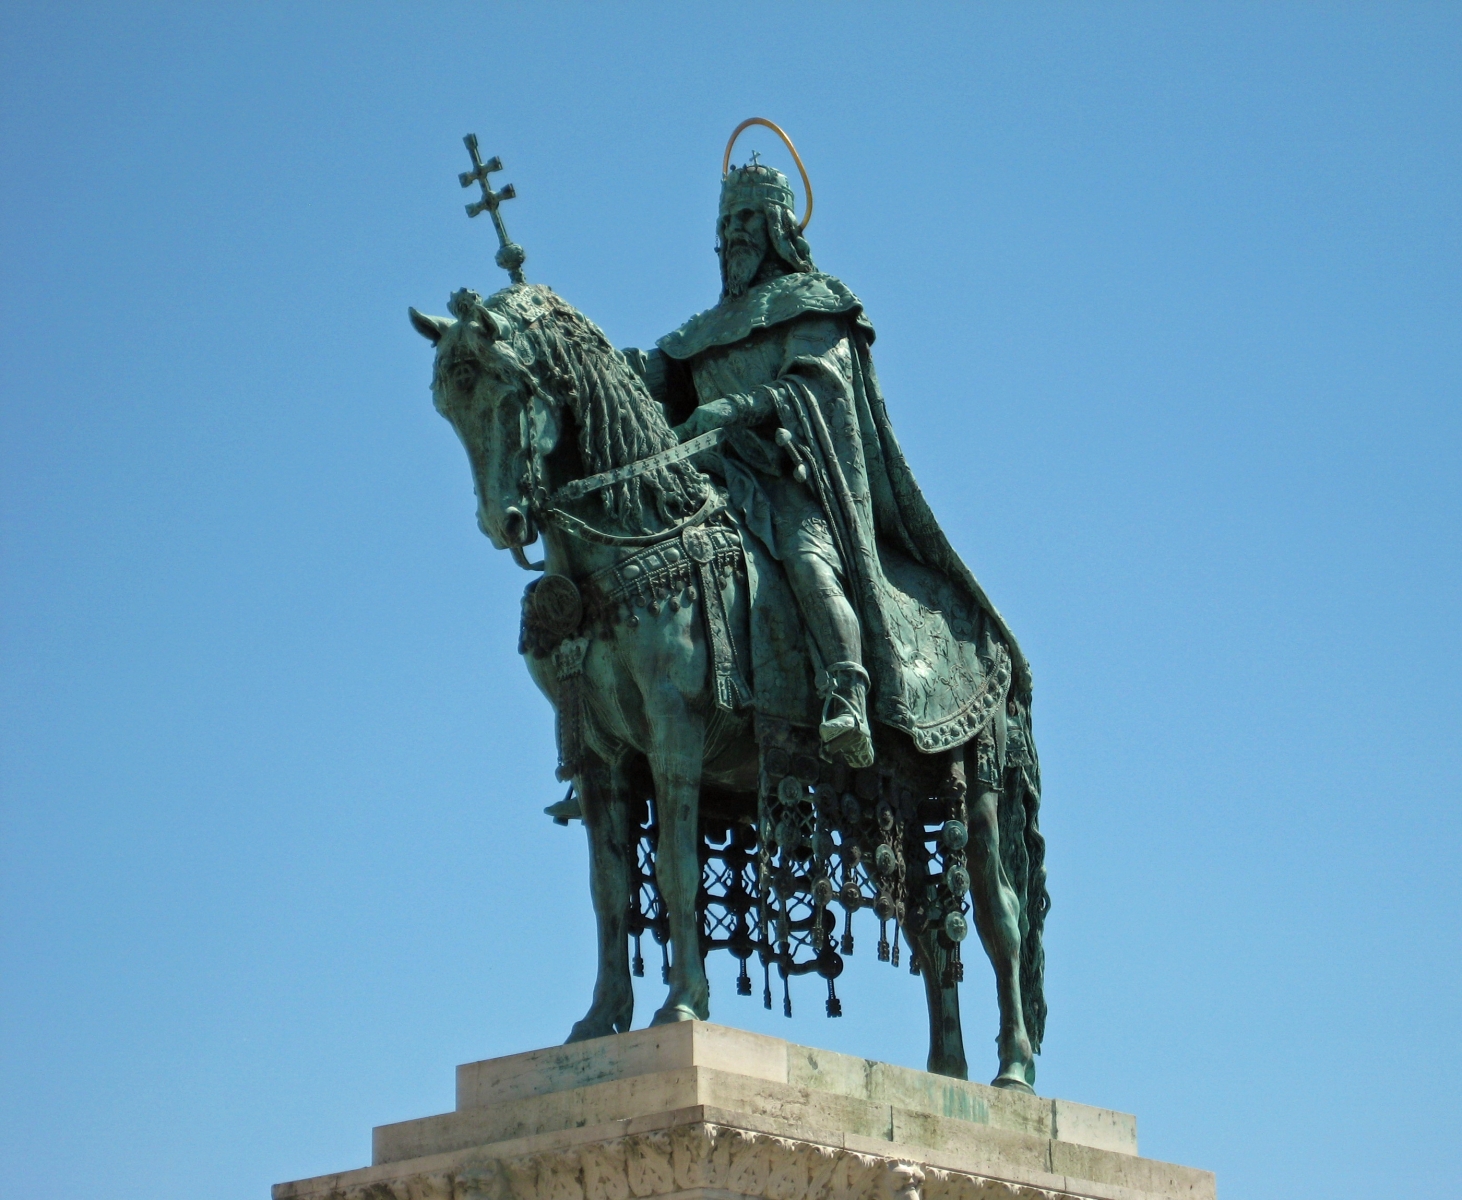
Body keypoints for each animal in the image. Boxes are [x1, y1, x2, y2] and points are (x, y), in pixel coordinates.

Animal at [412, 280, 1046, 1087]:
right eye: (447, 403)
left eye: (509, 387)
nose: (508, 522)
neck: (631, 540)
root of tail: (988, 630)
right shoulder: (603, 759)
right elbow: (609, 890)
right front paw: (598, 1020)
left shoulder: (675, 737)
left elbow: (675, 868)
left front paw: (681, 1004)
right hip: (890, 801)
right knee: (930, 927)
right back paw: (944, 1075)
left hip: (975, 779)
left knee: (999, 917)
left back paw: (1012, 1073)